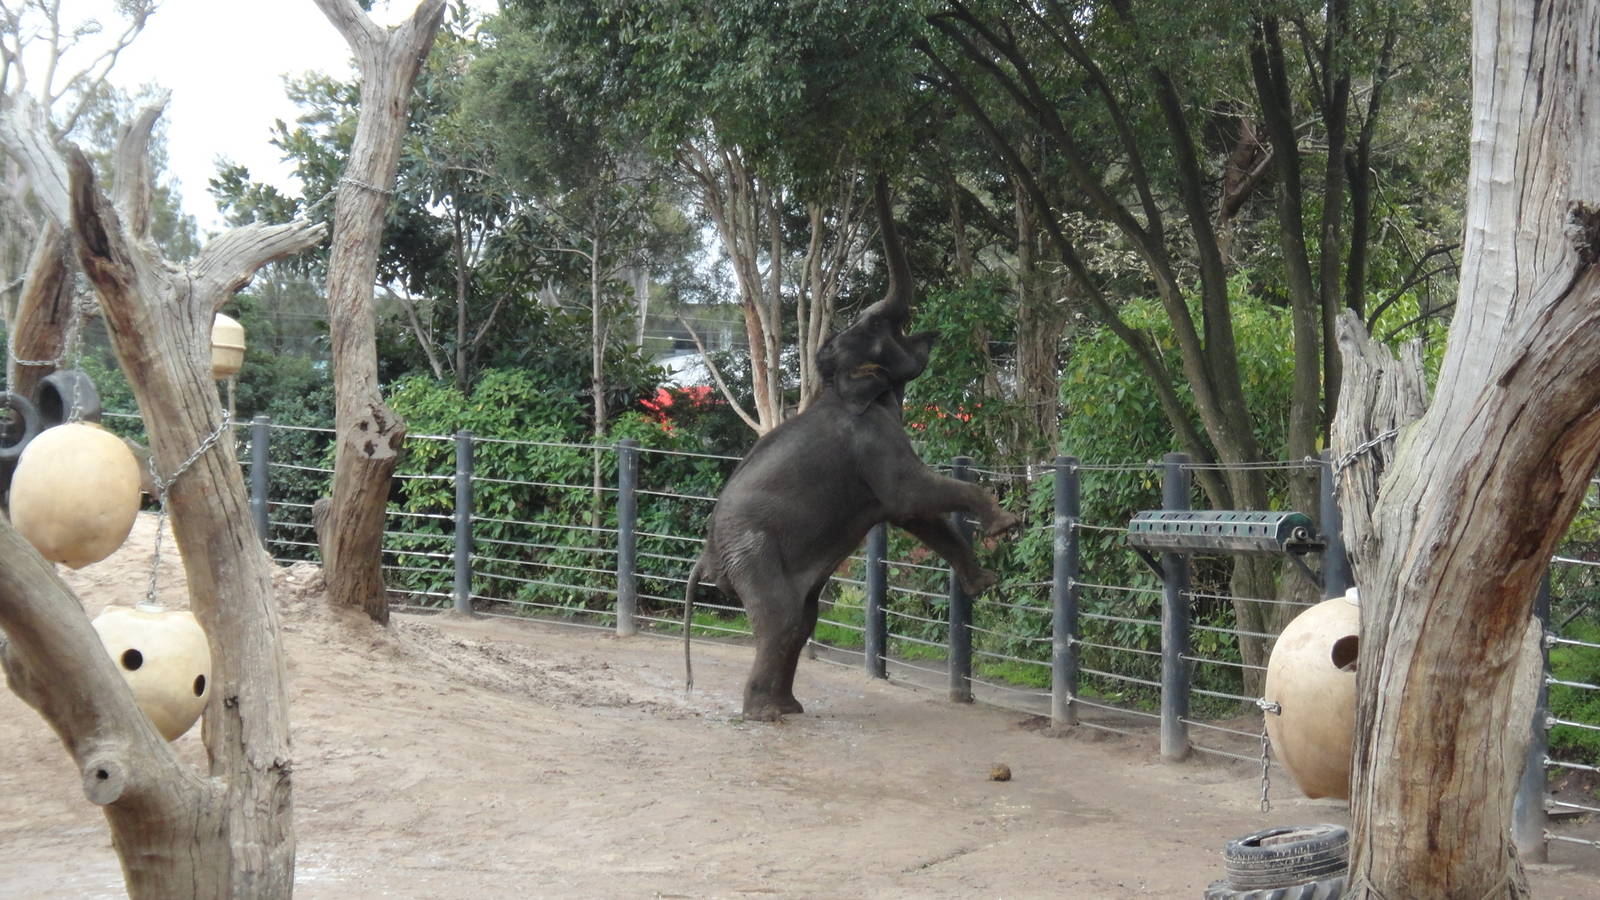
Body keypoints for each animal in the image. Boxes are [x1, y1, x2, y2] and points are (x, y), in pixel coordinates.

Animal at [682, 175, 1020, 722]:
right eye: (880, 329)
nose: (877, 169)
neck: (838, 384)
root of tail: (708, 556)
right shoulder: (874, 441)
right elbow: (912, 494)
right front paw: (1007, 525)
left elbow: (912, 514)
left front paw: (984, 582)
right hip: (751, 550)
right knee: (782, 619)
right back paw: (765, 714)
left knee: (803, 618)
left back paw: (790, 707)